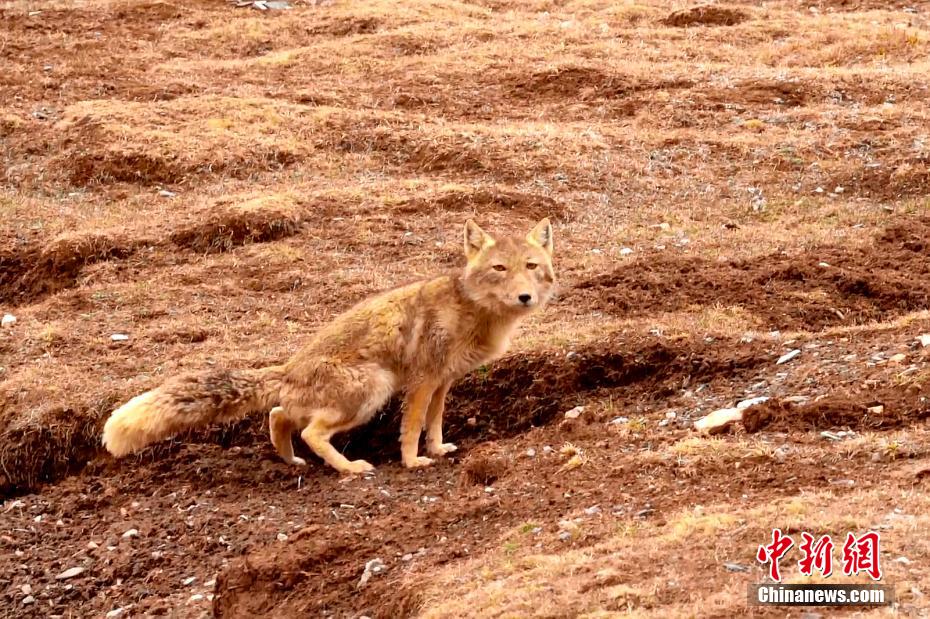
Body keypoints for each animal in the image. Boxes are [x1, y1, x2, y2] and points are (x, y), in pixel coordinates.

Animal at [101, 218, 556, 474]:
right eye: (500, 269)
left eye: (531, 267)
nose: (525, 297)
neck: (473, 310)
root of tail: (288, 369)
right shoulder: (423, 381)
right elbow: (411, 428)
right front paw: (412, 462)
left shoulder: (443, 382)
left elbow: (434, 422)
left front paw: (438, 448)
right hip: (374, 387)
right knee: (311, 431)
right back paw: (349, 468)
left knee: (280, 415)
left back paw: (289, 461)